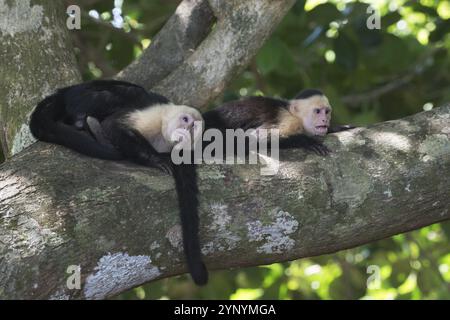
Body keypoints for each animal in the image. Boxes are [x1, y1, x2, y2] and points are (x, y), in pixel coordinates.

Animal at [29, 80, 208, 284]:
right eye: (185, 120)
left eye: (194, 128)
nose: (186, 130)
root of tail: (64, 91)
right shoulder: (154, 116)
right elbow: (114, 126)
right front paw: (155, 159)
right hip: (79, 96)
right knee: (119, 95)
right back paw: (87, 125)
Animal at [202, 89, 354, 156]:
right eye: (317, 111)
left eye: (326, 112)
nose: (325, 119)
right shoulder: (289, 120)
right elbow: (258, 137)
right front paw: (306, 142)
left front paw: (336, 128)